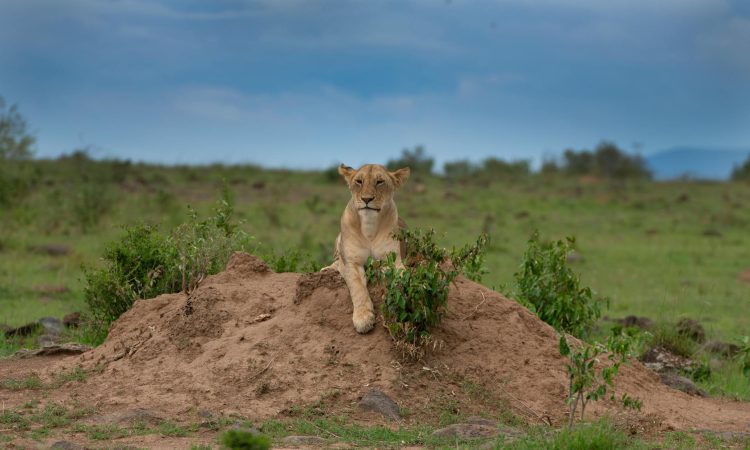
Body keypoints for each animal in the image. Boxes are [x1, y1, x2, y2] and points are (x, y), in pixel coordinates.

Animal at [322, 163, 410, 333]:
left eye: (380, 182)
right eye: (359, 181)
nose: (366, 199)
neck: (369, 227)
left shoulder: (393, 260)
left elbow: (401, 276)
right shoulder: (352, 263)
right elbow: (357, 288)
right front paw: (363, 318)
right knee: (337, 261)